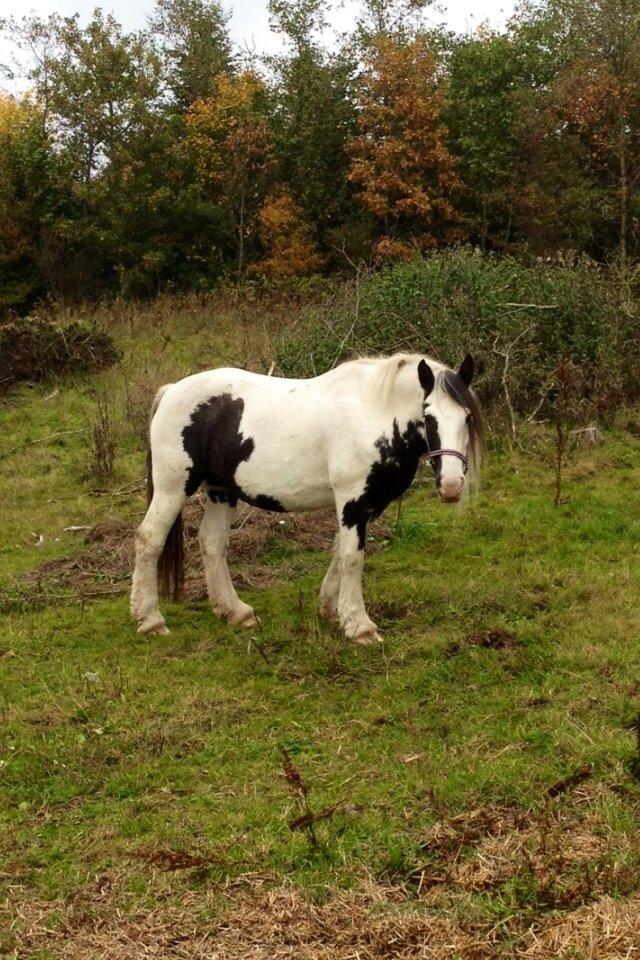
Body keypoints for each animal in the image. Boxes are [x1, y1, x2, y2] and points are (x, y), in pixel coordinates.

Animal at [129, 352, 480, 644]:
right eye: (428, 416)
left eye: (467, 417)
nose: (451, 485)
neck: (372, 413)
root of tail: (171, 391)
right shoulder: (353, 500)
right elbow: (353, 558)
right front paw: (360, 626)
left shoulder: (366, 504)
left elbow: (340, 552)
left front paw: (331, 610)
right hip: (173, 488)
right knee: (149, 540)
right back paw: (150, 620)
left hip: (221, 491)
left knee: (212, 543)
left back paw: (236, 612)